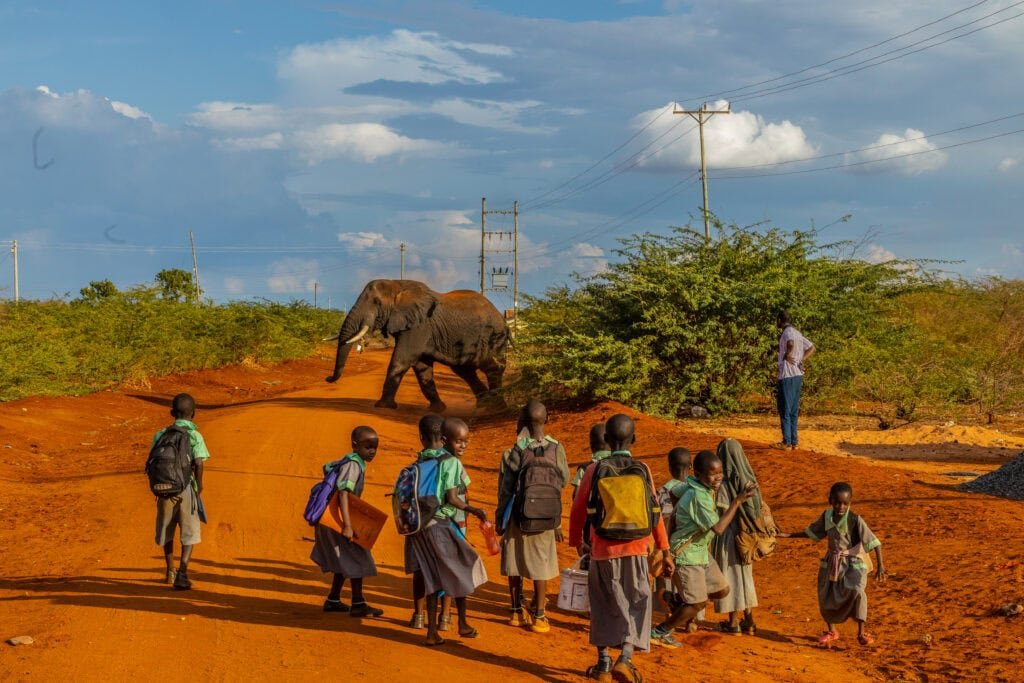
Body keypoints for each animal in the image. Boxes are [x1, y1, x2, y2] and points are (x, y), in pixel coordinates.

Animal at [325, 279, 509, 412]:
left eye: (377, 302)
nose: (328, 379)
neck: (397, 284)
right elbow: (422, 367)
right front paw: (437, 409)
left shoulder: (420, 326)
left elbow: (403, 358)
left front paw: (383, 406)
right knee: (466, 371)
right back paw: (484, 404)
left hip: (492, 337)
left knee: (491, 367)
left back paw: (496, 407)